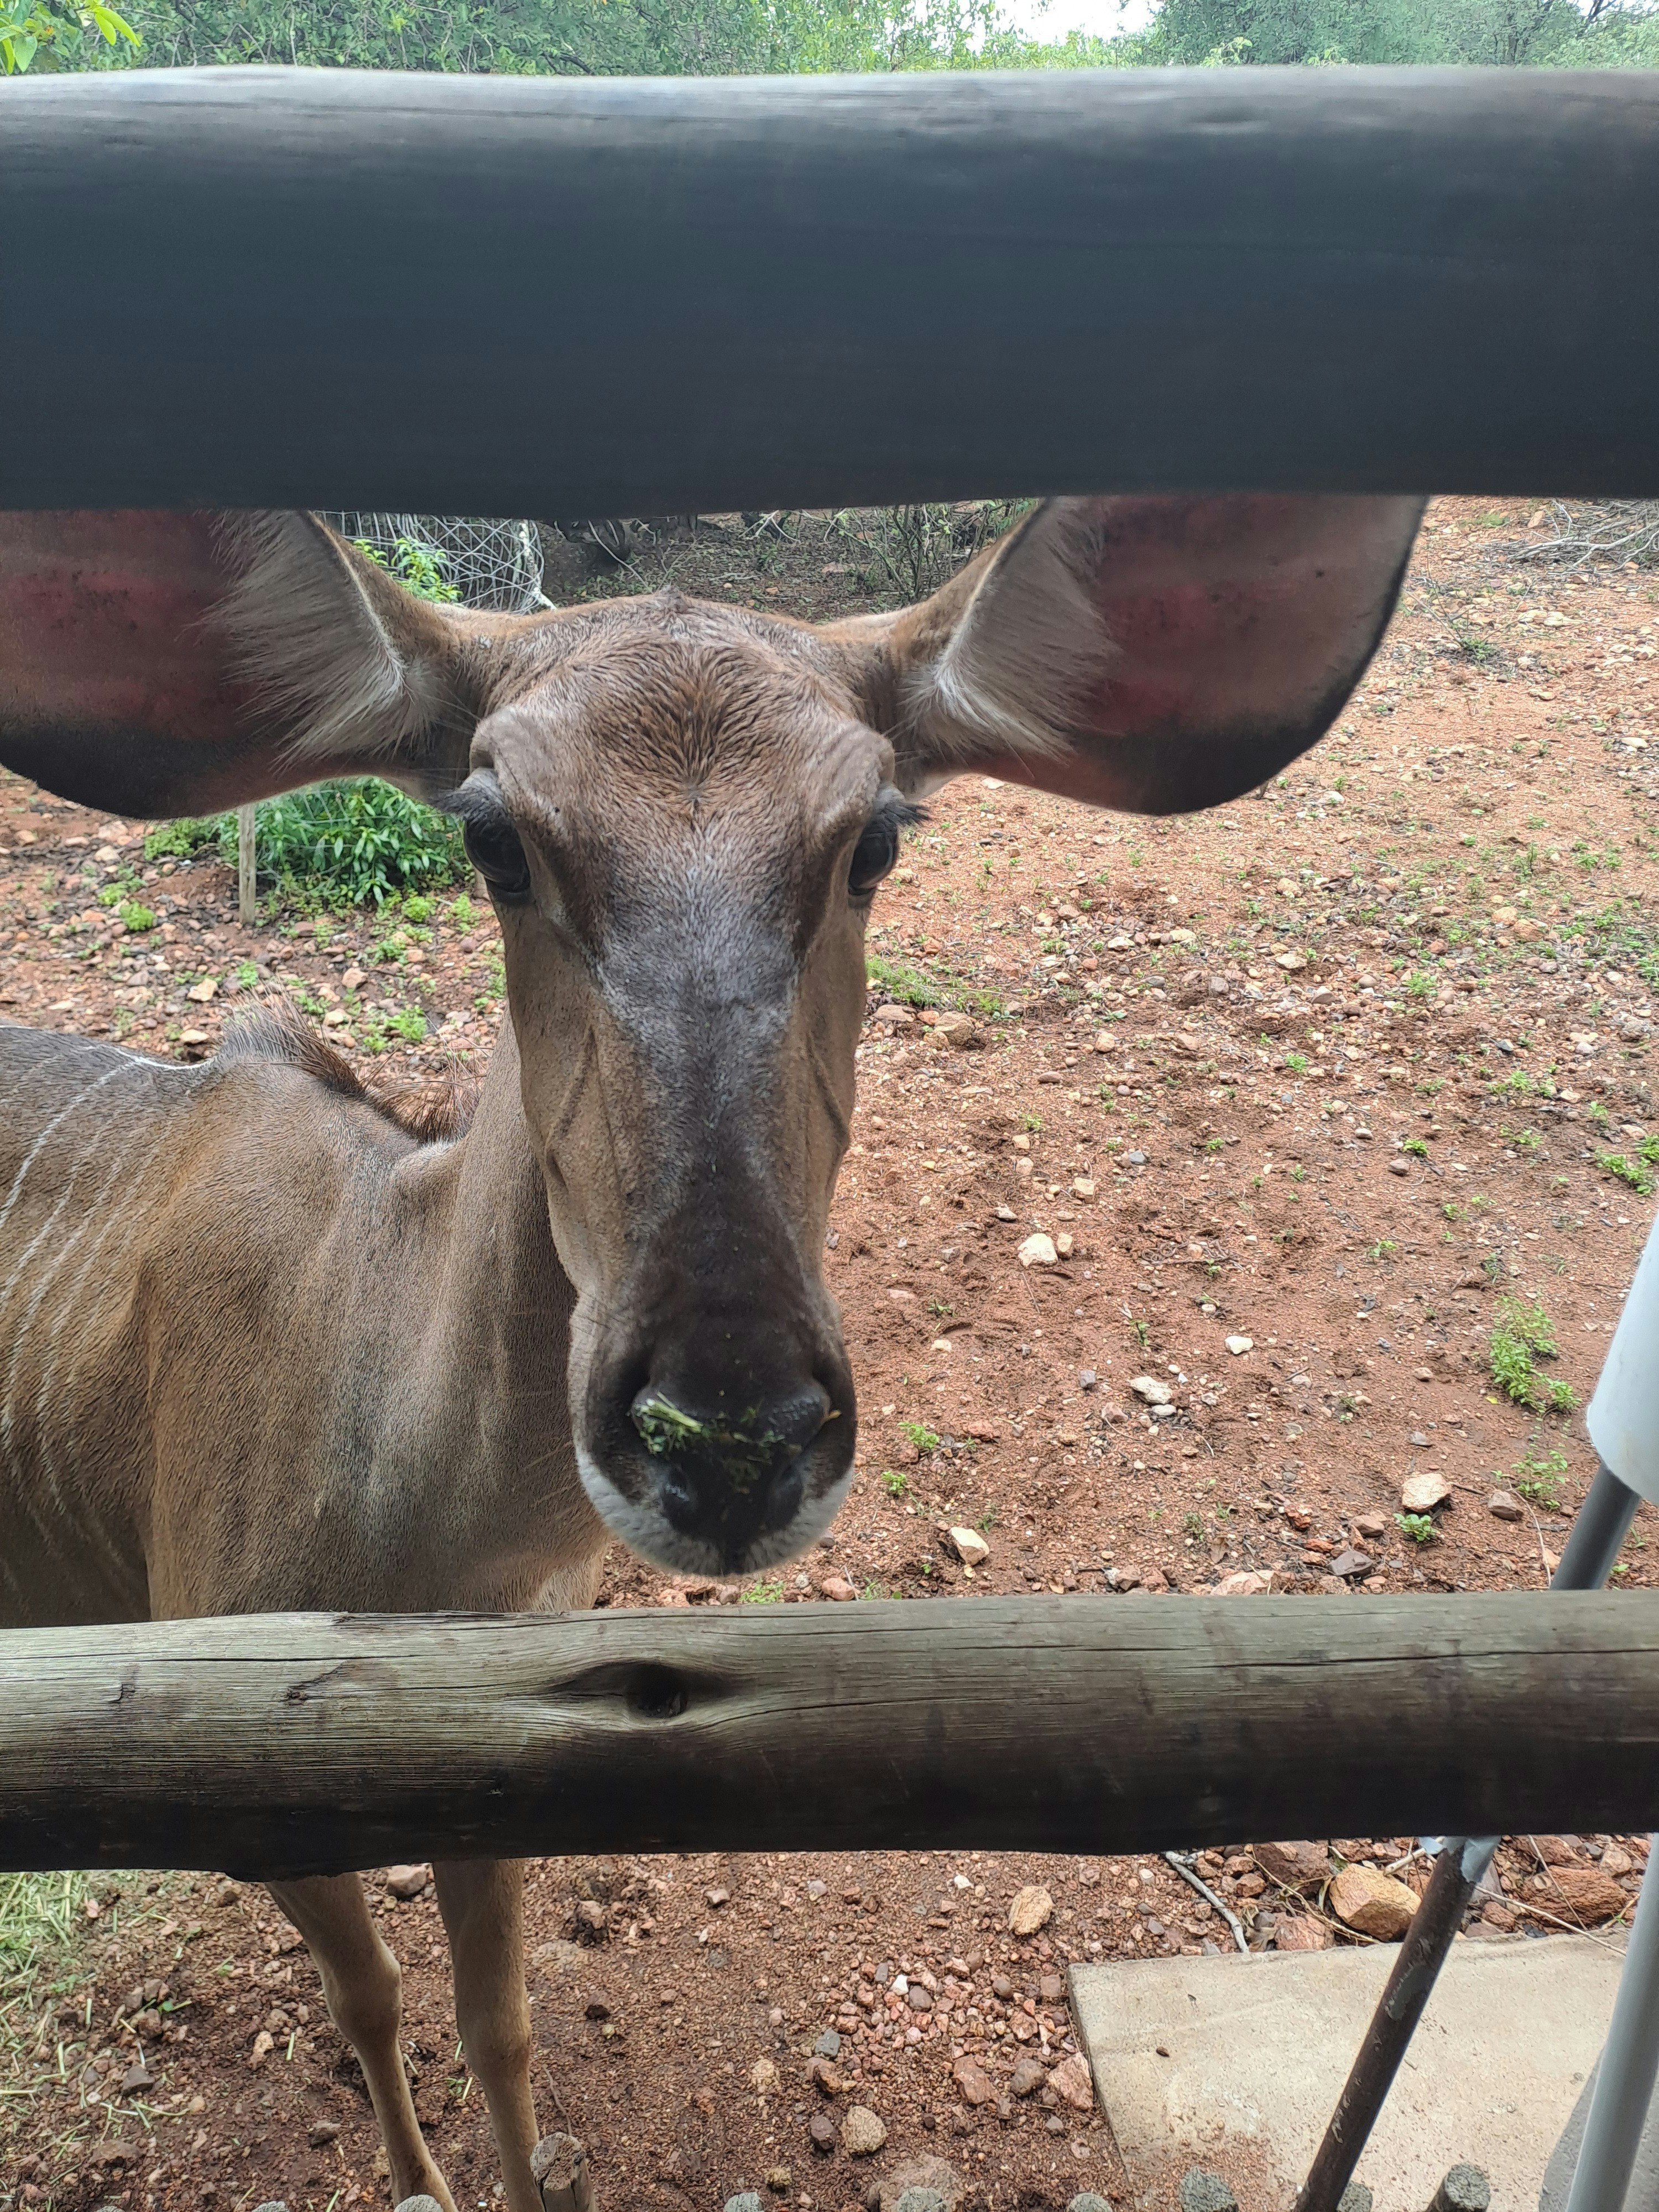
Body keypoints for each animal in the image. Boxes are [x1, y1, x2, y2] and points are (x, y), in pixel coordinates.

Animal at [0, 492, 1423, 2211]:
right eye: (493, 836)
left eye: (876, 836)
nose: (729, 1436)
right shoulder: (256, 1805)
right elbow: (373, 1999)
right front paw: (417, 2184)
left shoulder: (497, 1753)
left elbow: (500, 2024)